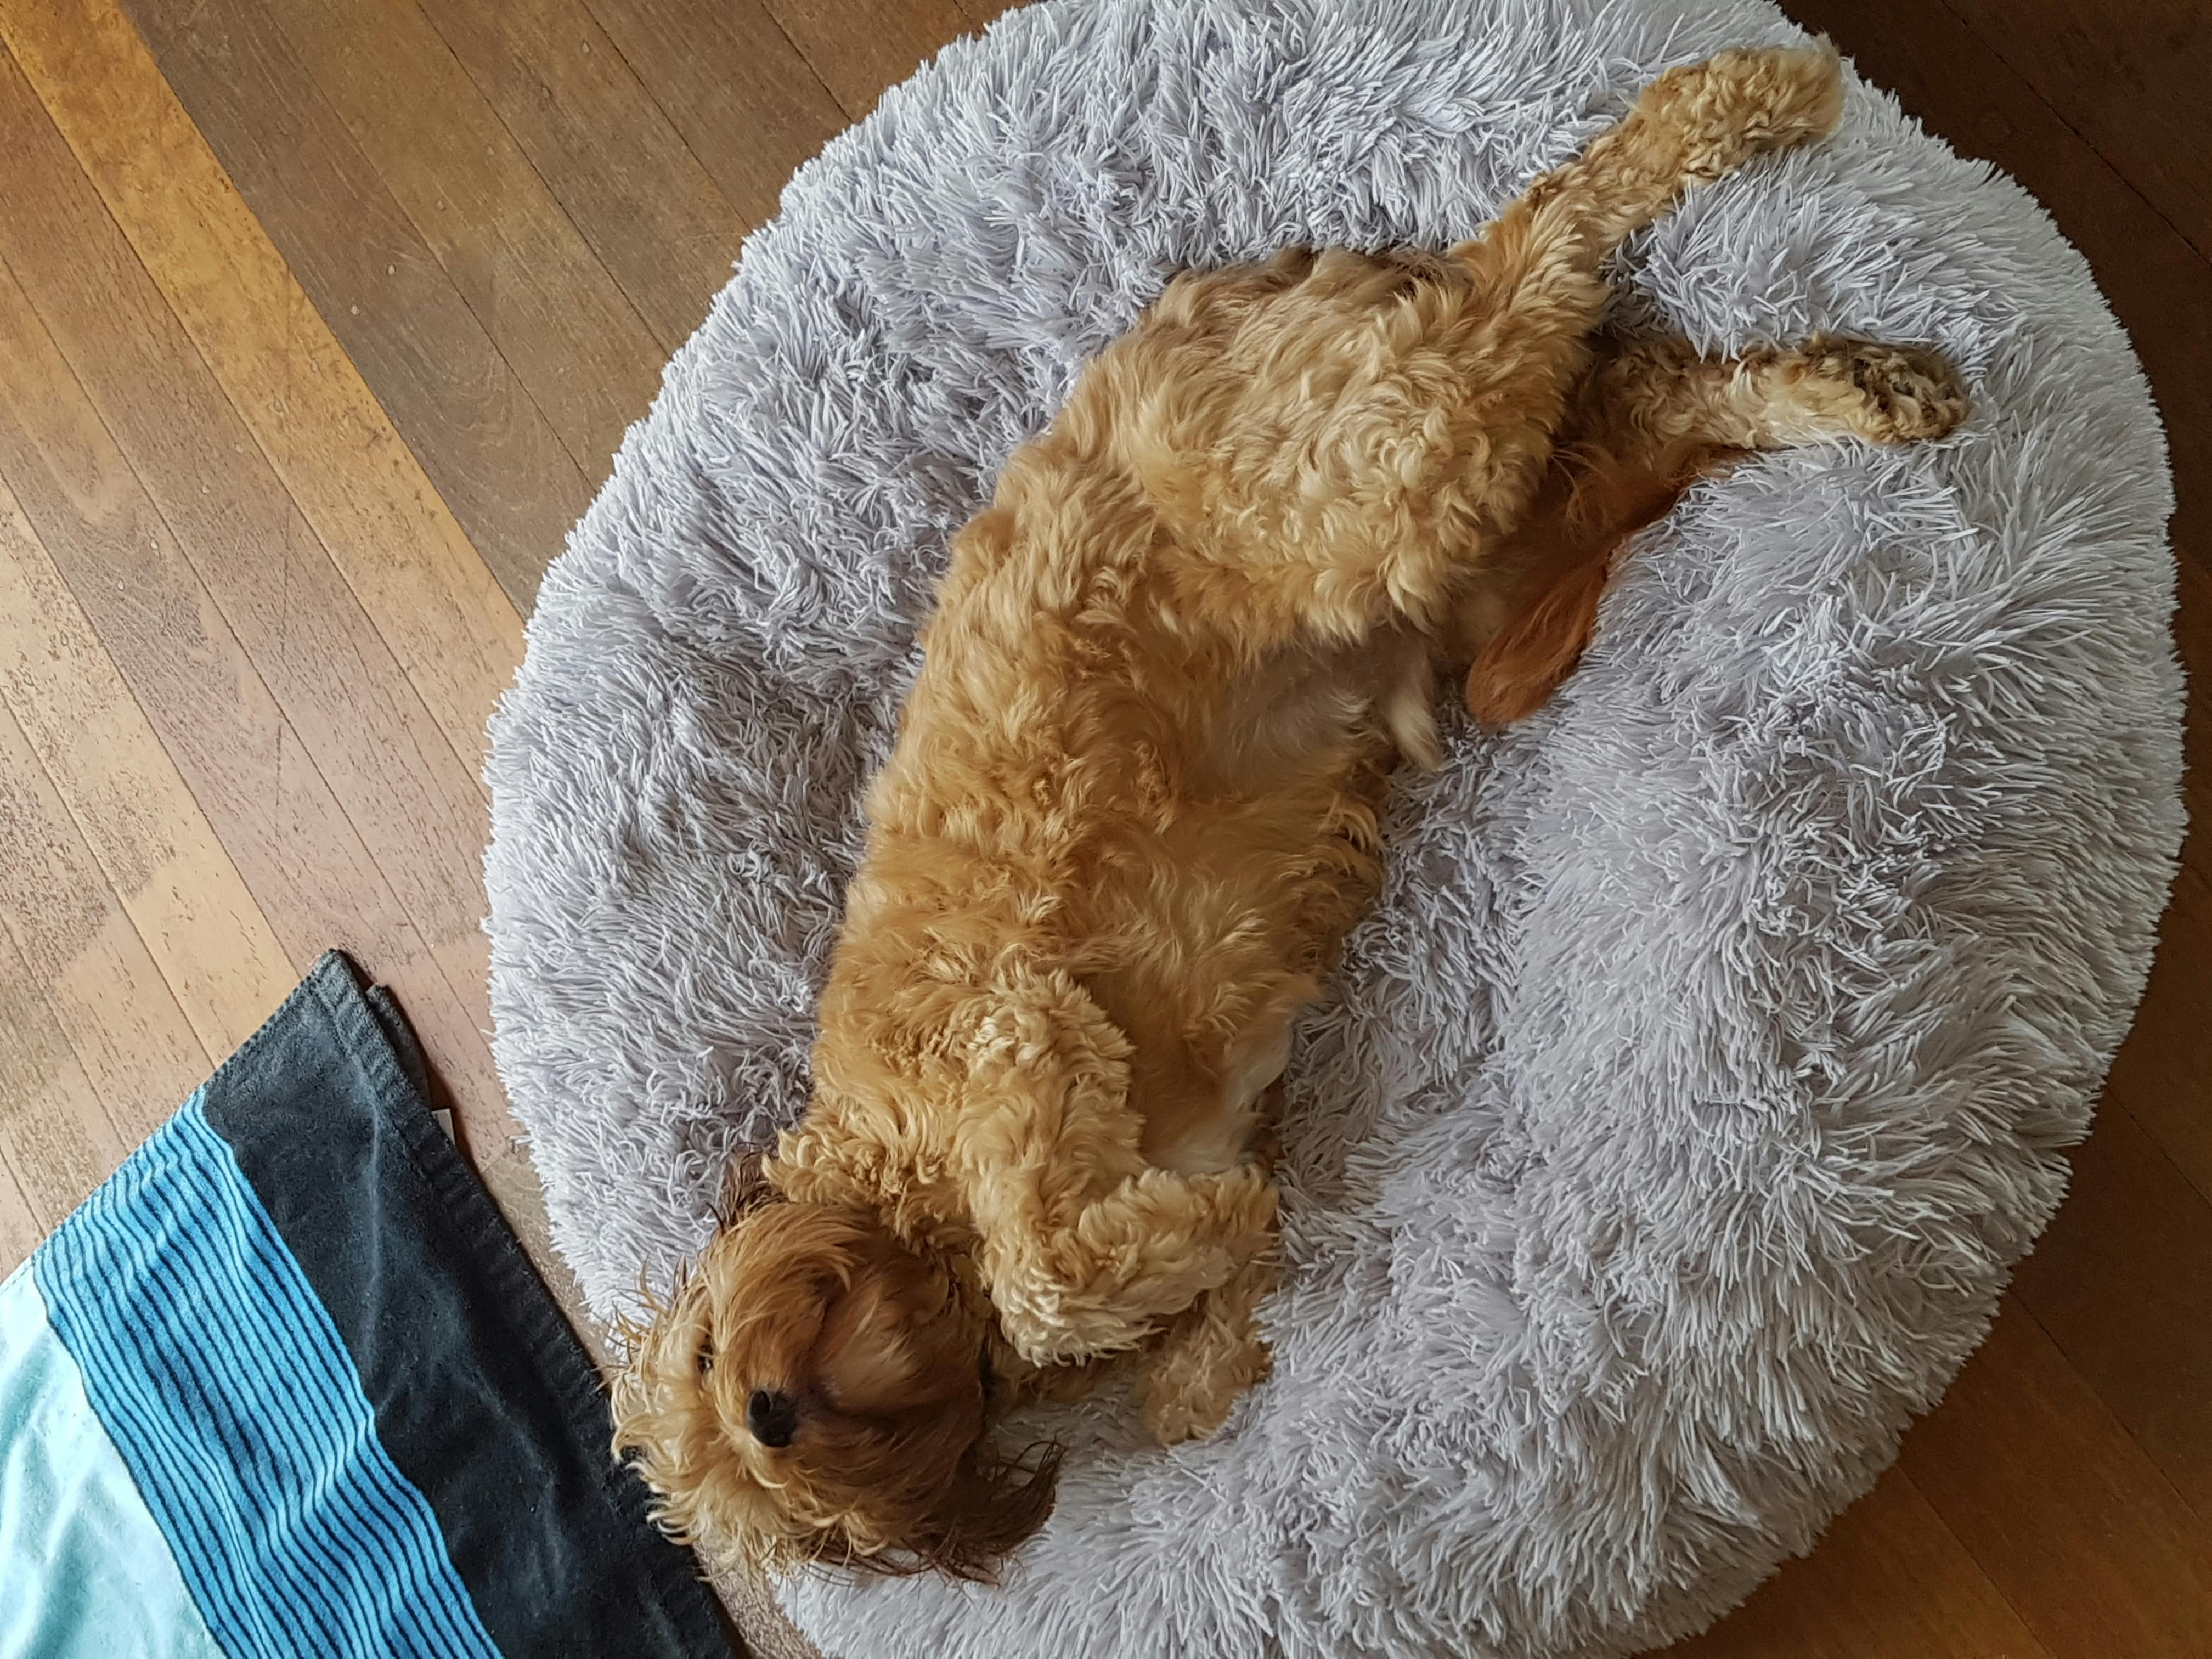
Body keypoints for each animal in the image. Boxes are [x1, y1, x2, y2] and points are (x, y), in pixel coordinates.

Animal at [611, 40, 1967, 1581]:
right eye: (753, 1453)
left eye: (709, 1353)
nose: (769, 1412)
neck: (906, 1182)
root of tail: (1227, 299)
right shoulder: (1215, 1122)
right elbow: (1194, 1293)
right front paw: (1202, 1320)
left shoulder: (1008, 1034)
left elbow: (1050, 1278)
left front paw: (1135, 1266)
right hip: (1486, 560)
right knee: (1657, 402)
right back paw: (1864, 390)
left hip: (1373, 470)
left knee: (1542, 246)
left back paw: (1744, 95)